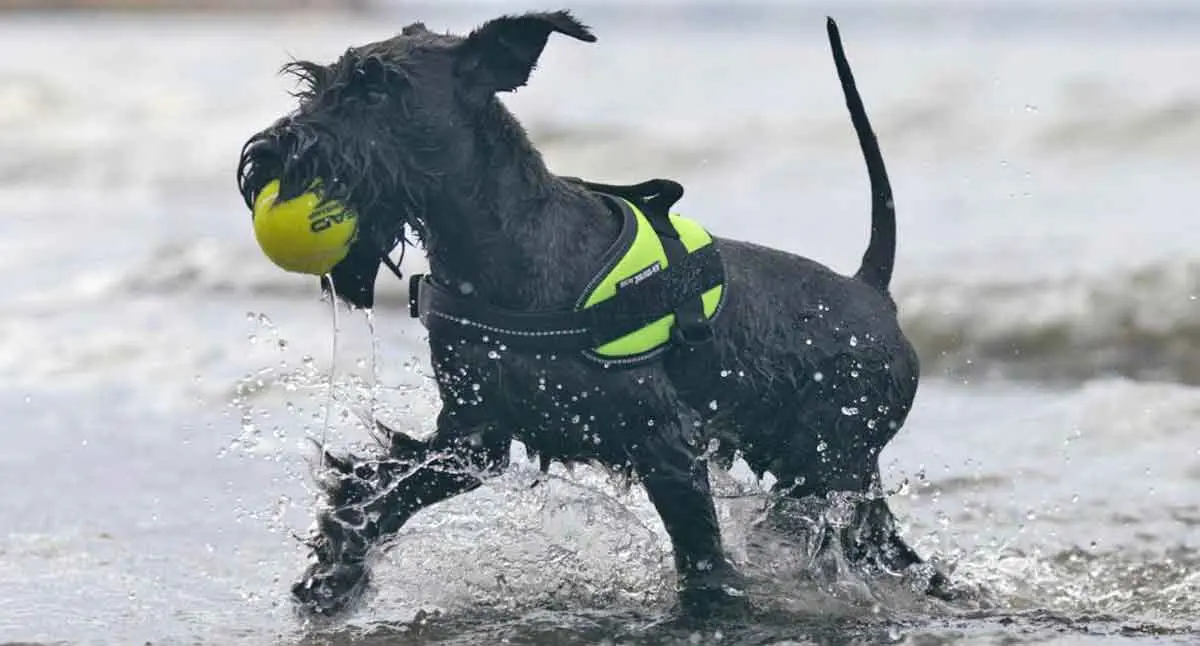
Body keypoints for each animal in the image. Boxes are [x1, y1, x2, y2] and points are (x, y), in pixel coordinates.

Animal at [234, 10, 945, 612]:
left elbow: (702, 558)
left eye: (378, 92)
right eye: (318, 84)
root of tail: (872, 291)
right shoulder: (472, 434)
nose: (266, 157)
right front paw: (334, 569)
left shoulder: (665, 444)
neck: (508, 249)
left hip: (829, 470)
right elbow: (386, 487)